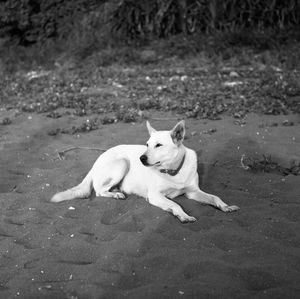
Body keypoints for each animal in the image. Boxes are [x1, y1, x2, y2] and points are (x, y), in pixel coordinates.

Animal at [51, 121, 239, 223]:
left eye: (159, 145)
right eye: (147, 144)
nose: (141, 158)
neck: (173, 172)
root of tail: (95, 162)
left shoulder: (193, 192)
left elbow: (214, 197)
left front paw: (225, 206)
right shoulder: (155, 196)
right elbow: (175, 204)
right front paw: (183, 216)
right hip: (122, 163)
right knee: (99, 191)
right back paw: (116, 194)